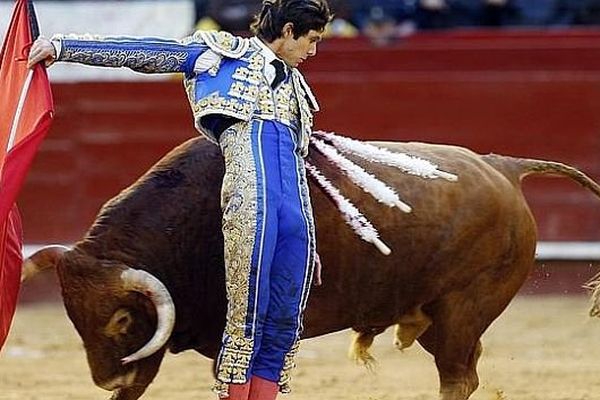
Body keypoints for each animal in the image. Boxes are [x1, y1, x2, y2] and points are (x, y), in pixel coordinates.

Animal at [24, 136, 600, 398]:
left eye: (121, 319)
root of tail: (503, 165)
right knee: (467, 370)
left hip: (462, 309)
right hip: (438, 316)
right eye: (72, 317)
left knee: (457, 376)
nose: (105, 379)